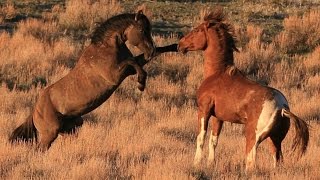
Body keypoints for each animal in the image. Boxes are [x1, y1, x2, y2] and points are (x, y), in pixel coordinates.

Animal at [10, 10, 179, 150]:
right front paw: (141, 84)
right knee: (39, 149)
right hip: (50, 133)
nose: (151, 50)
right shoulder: (116, 74)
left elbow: (142, 59)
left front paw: (176, 47)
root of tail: (35, 111)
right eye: (142, 30)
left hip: (72, 128)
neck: (105, 48)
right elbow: (133, 63)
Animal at [178, 9, 310, 172]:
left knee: (251, 160)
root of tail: (282, 107)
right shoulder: (219, 117)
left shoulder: (204, 110)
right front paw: (210, 164)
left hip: (253, 136)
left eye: (197, 30)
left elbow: (201, 138)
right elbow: (213, 140)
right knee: (277, 158)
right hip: (275, 139)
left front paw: (196, 164)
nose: (180, 44)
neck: (217, 74)